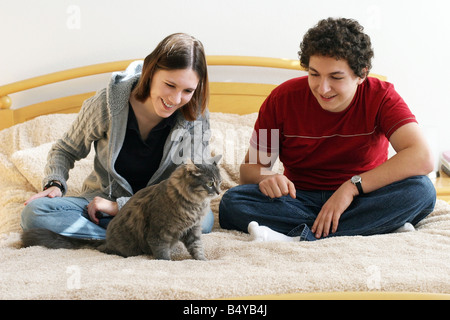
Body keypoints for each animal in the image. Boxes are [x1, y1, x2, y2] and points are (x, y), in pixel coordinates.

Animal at [22, 159, 222, 262]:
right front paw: (167, 263)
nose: (219, 191)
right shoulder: (159, 233)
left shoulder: (193, 230)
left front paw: (203, 262)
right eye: (210, 183)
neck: (194, 205)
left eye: (219, 182)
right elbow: (163, 255)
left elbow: (197, 249)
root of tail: (106, 239)